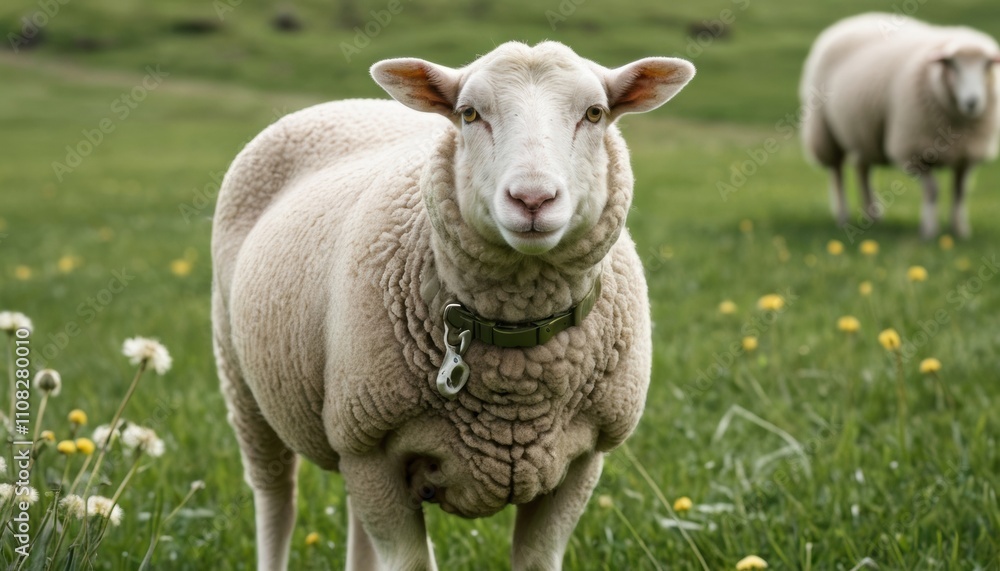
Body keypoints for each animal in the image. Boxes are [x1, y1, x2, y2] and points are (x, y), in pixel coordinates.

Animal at [212, 41, 694, 571]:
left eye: (595, 113)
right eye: (469, 114)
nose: (532, 199)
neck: (517, 377)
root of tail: (346, 104)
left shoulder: (584, 458)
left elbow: (536, 561)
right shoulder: (370, 448)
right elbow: (410, 564)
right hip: (246, 382)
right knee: (277, 500)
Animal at [800, 12, 1000, 239]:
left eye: (987, 66)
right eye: (952, 66)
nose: (972, 102)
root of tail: (852, 19)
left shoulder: (966, 155)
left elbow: (960, 193)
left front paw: (960, 230)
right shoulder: (914, 151)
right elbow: (932, 190)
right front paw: (929, 231)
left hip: (864, 132)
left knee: (861, 169)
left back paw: (873, 214)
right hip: (824, 130)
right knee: (836, 172)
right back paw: (843, 215)